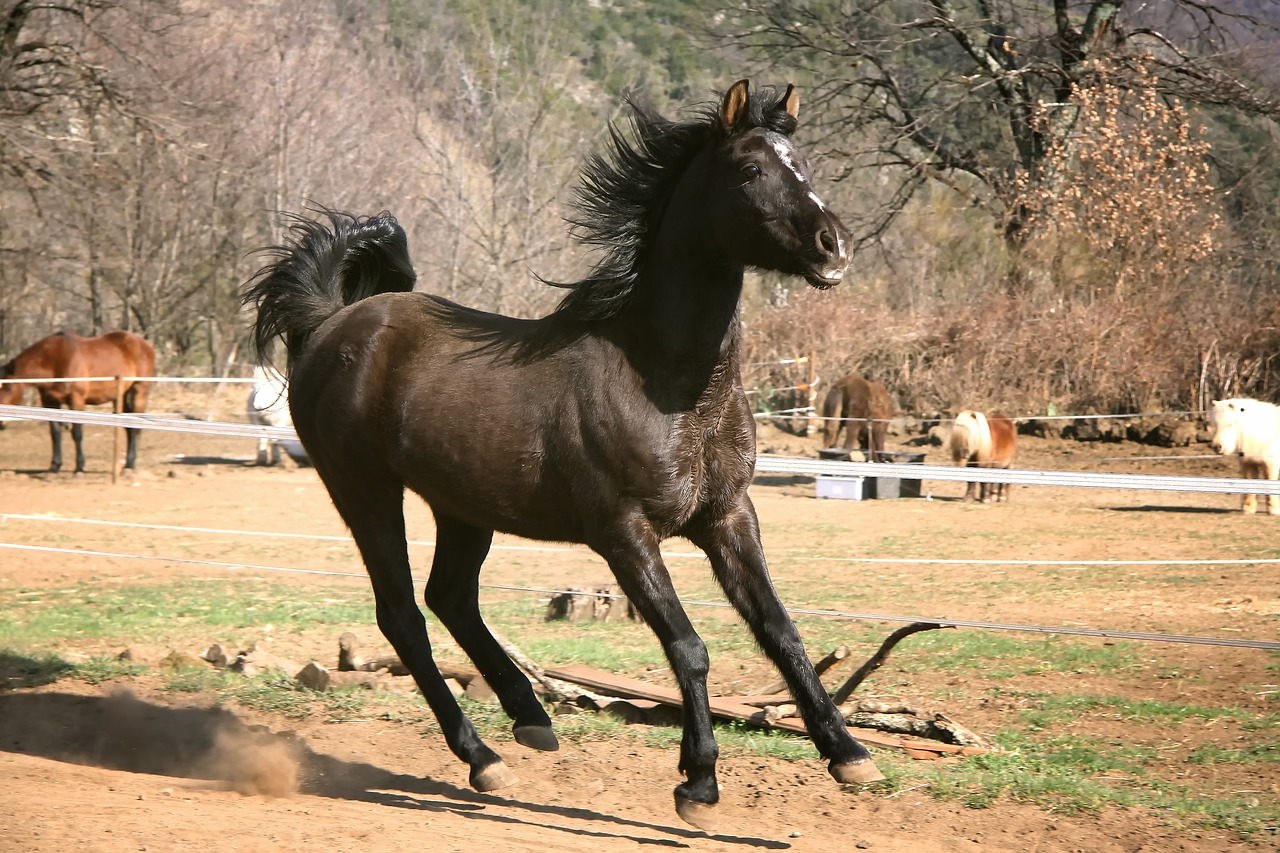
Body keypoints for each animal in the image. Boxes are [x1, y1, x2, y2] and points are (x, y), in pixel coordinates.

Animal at [0, 331, 155, 473]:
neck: (55, 360)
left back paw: (130, 465)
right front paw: (54, 466)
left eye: (8, 387)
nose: (1, 423)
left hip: (139, 391)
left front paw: (79, 467)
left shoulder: (76, 400)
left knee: (135, 428)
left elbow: (77, 433)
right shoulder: (50, 401)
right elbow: (55, 433)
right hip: (119, 396)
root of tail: (145, 343)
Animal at [243, 79, 880, 830]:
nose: (833, 245)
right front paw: (697, 783)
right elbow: (688, 646)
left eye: (801, 162)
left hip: (464, 508)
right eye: (751, 170)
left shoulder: (729, 518)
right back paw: (483, 757)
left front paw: (848, 755)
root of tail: (329, 322)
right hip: (365, 494)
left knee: (450, 597)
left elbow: (782, 632)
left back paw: (530, 719)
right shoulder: (625, 534)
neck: (667, 383)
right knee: (403, 615)